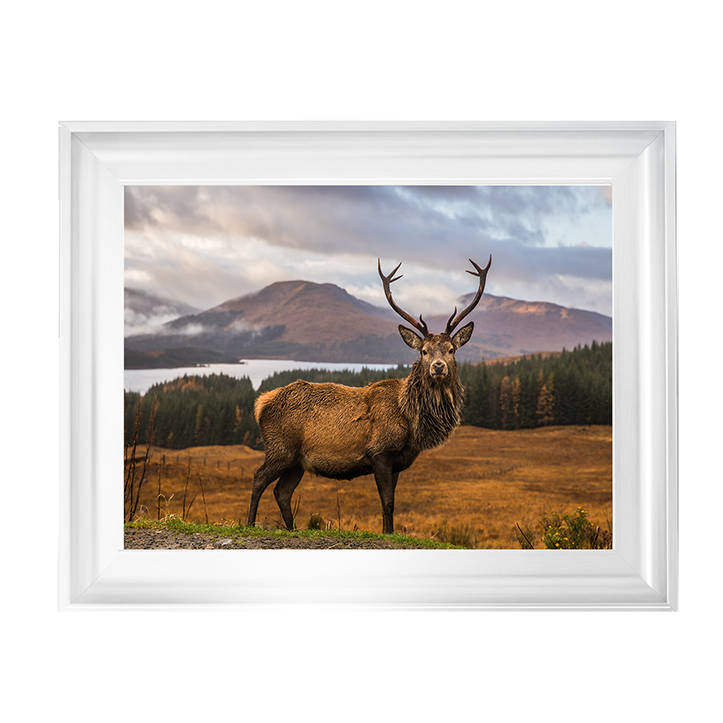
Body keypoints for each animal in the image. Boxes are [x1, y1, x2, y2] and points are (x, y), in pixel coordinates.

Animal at [246, 256, 492, 534]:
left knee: (282, 492)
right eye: (424, 351)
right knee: (258, 478)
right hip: (280, 448)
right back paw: (249, 523)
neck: (411, 422)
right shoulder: (379, 451)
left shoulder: (398, 461)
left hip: (297, 461)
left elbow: (391, 501)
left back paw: (291, 529)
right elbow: (387, 502)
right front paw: (388, 532)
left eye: (451, 349)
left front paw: (389, 531)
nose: (438, 367)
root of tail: (261, 403)